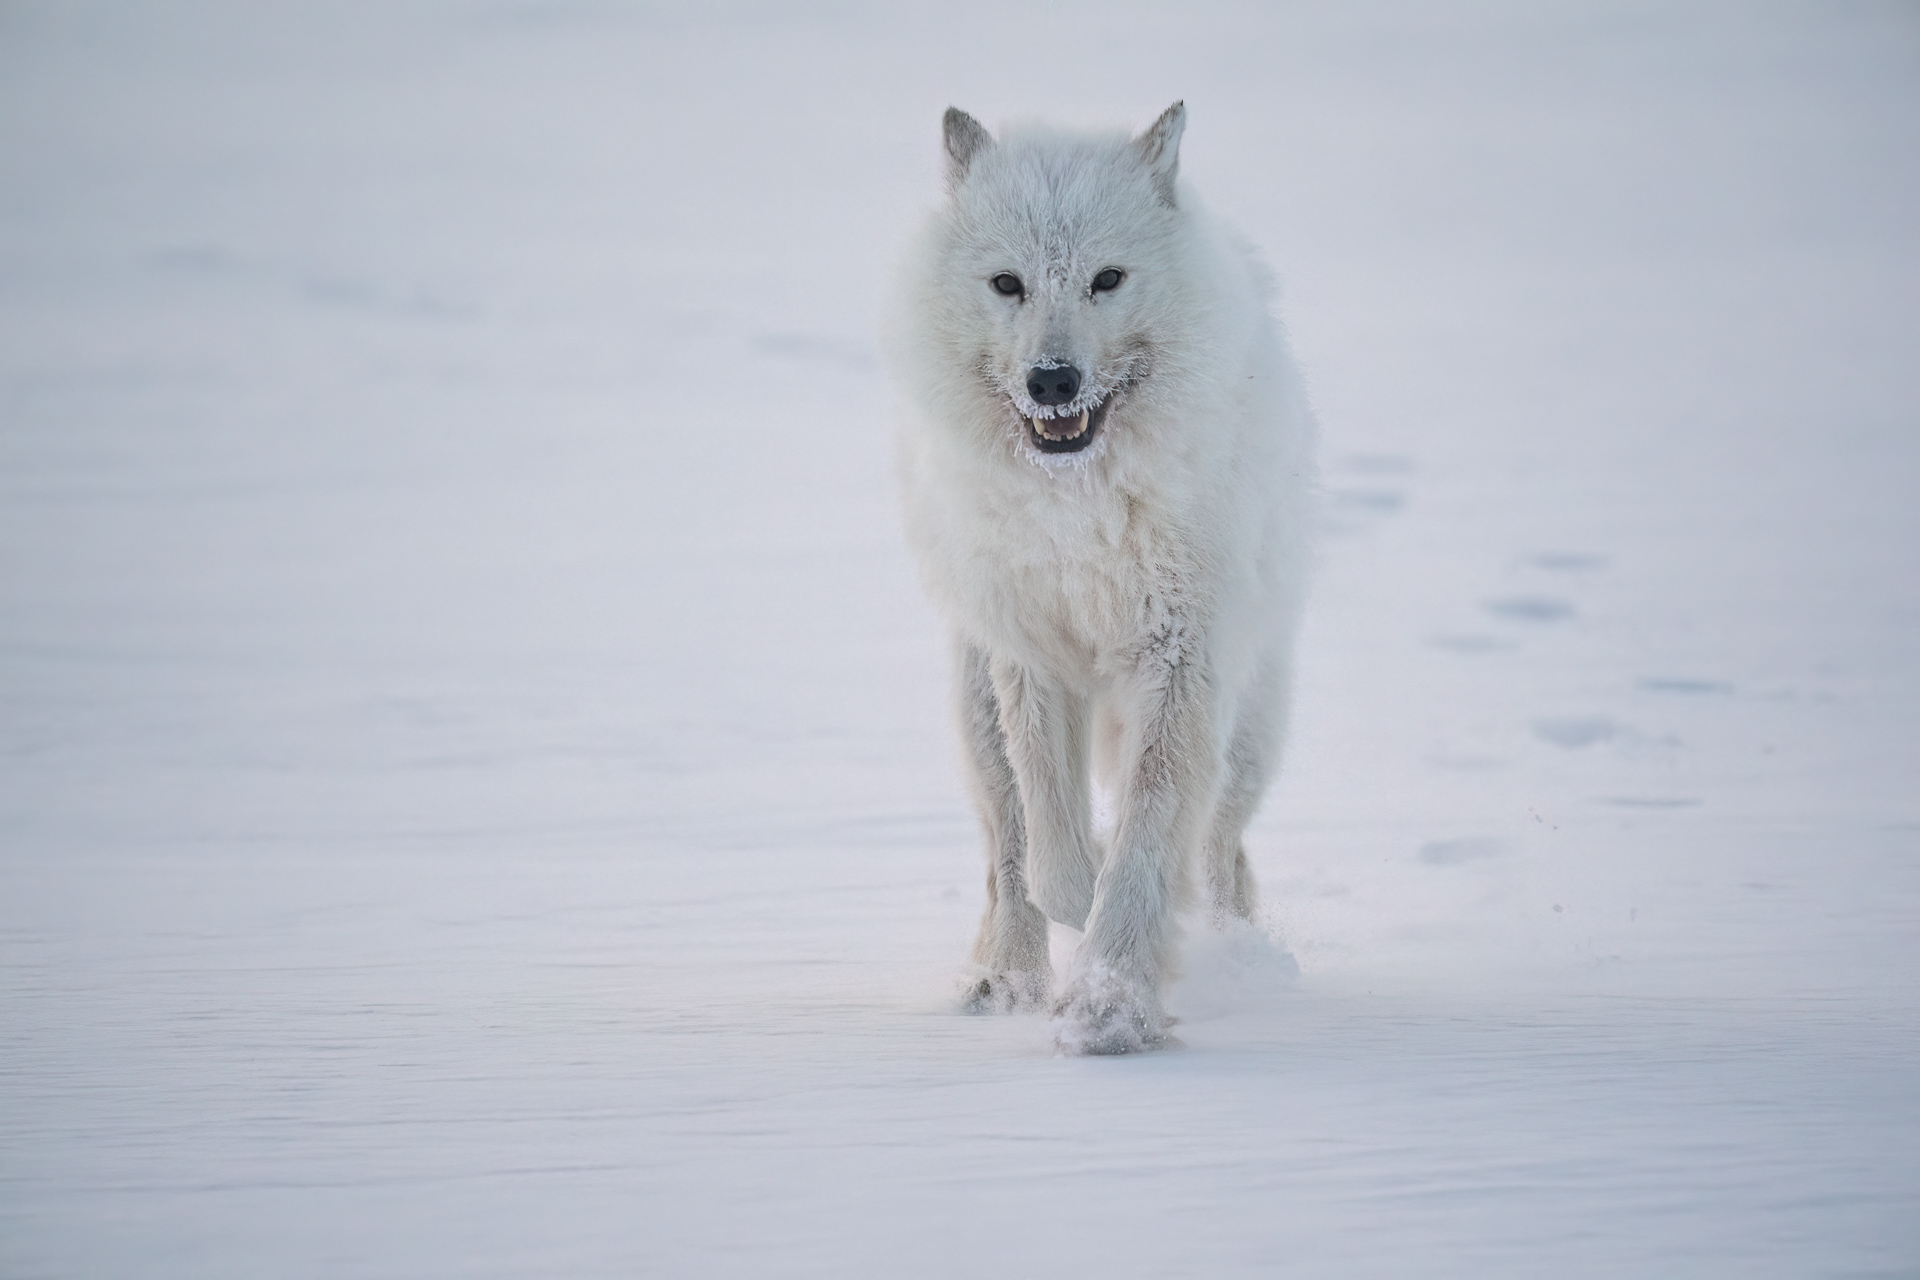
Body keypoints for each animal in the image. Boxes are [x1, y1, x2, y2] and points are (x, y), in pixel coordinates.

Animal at [886, 103, 1315, 1054]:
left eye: (1106, 280)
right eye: (1008, 285)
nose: (1054, 380)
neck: (1080, 510)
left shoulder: (1178, 660)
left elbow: (1150, 833)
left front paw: (1111, 1004)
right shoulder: (1031, 657)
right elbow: (1052, 845)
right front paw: (1079, 924)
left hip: (1246, 731)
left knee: (1220, 849)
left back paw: (1234, 954)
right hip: (977, 705)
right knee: (1006, 850)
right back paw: (1004, 980)